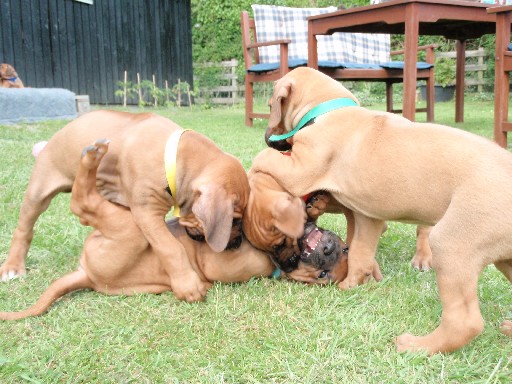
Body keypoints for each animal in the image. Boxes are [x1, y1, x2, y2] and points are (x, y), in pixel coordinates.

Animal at [250, 67, 512, 356]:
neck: (331, 110)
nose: (267, 137)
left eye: (270, 106)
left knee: (464, 321)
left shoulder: (301, 170)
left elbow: (266, 159)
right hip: (504, 258)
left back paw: (416, 345)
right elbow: (360, 254)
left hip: (453, 243)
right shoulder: (367, 216)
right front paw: (354, 281)